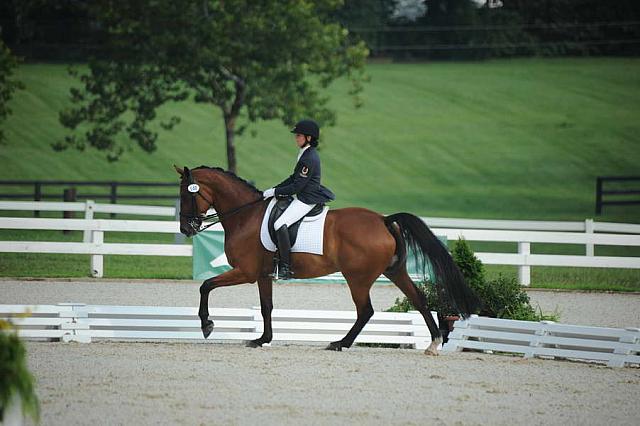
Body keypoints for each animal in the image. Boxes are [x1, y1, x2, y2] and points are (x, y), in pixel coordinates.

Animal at [175, 165, 480, 354]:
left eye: (185, 195)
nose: (186, 229)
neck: (245, 215)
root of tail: (382, 220)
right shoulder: (262, 275)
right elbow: (266, 307)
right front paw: (263, 339)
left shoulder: (246, 271)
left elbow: (206, 286)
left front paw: (207, 326)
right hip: (395, 271)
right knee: (418, 298)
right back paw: (434, 343)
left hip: (357, 277)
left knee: (365, 310)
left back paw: (340, 343)